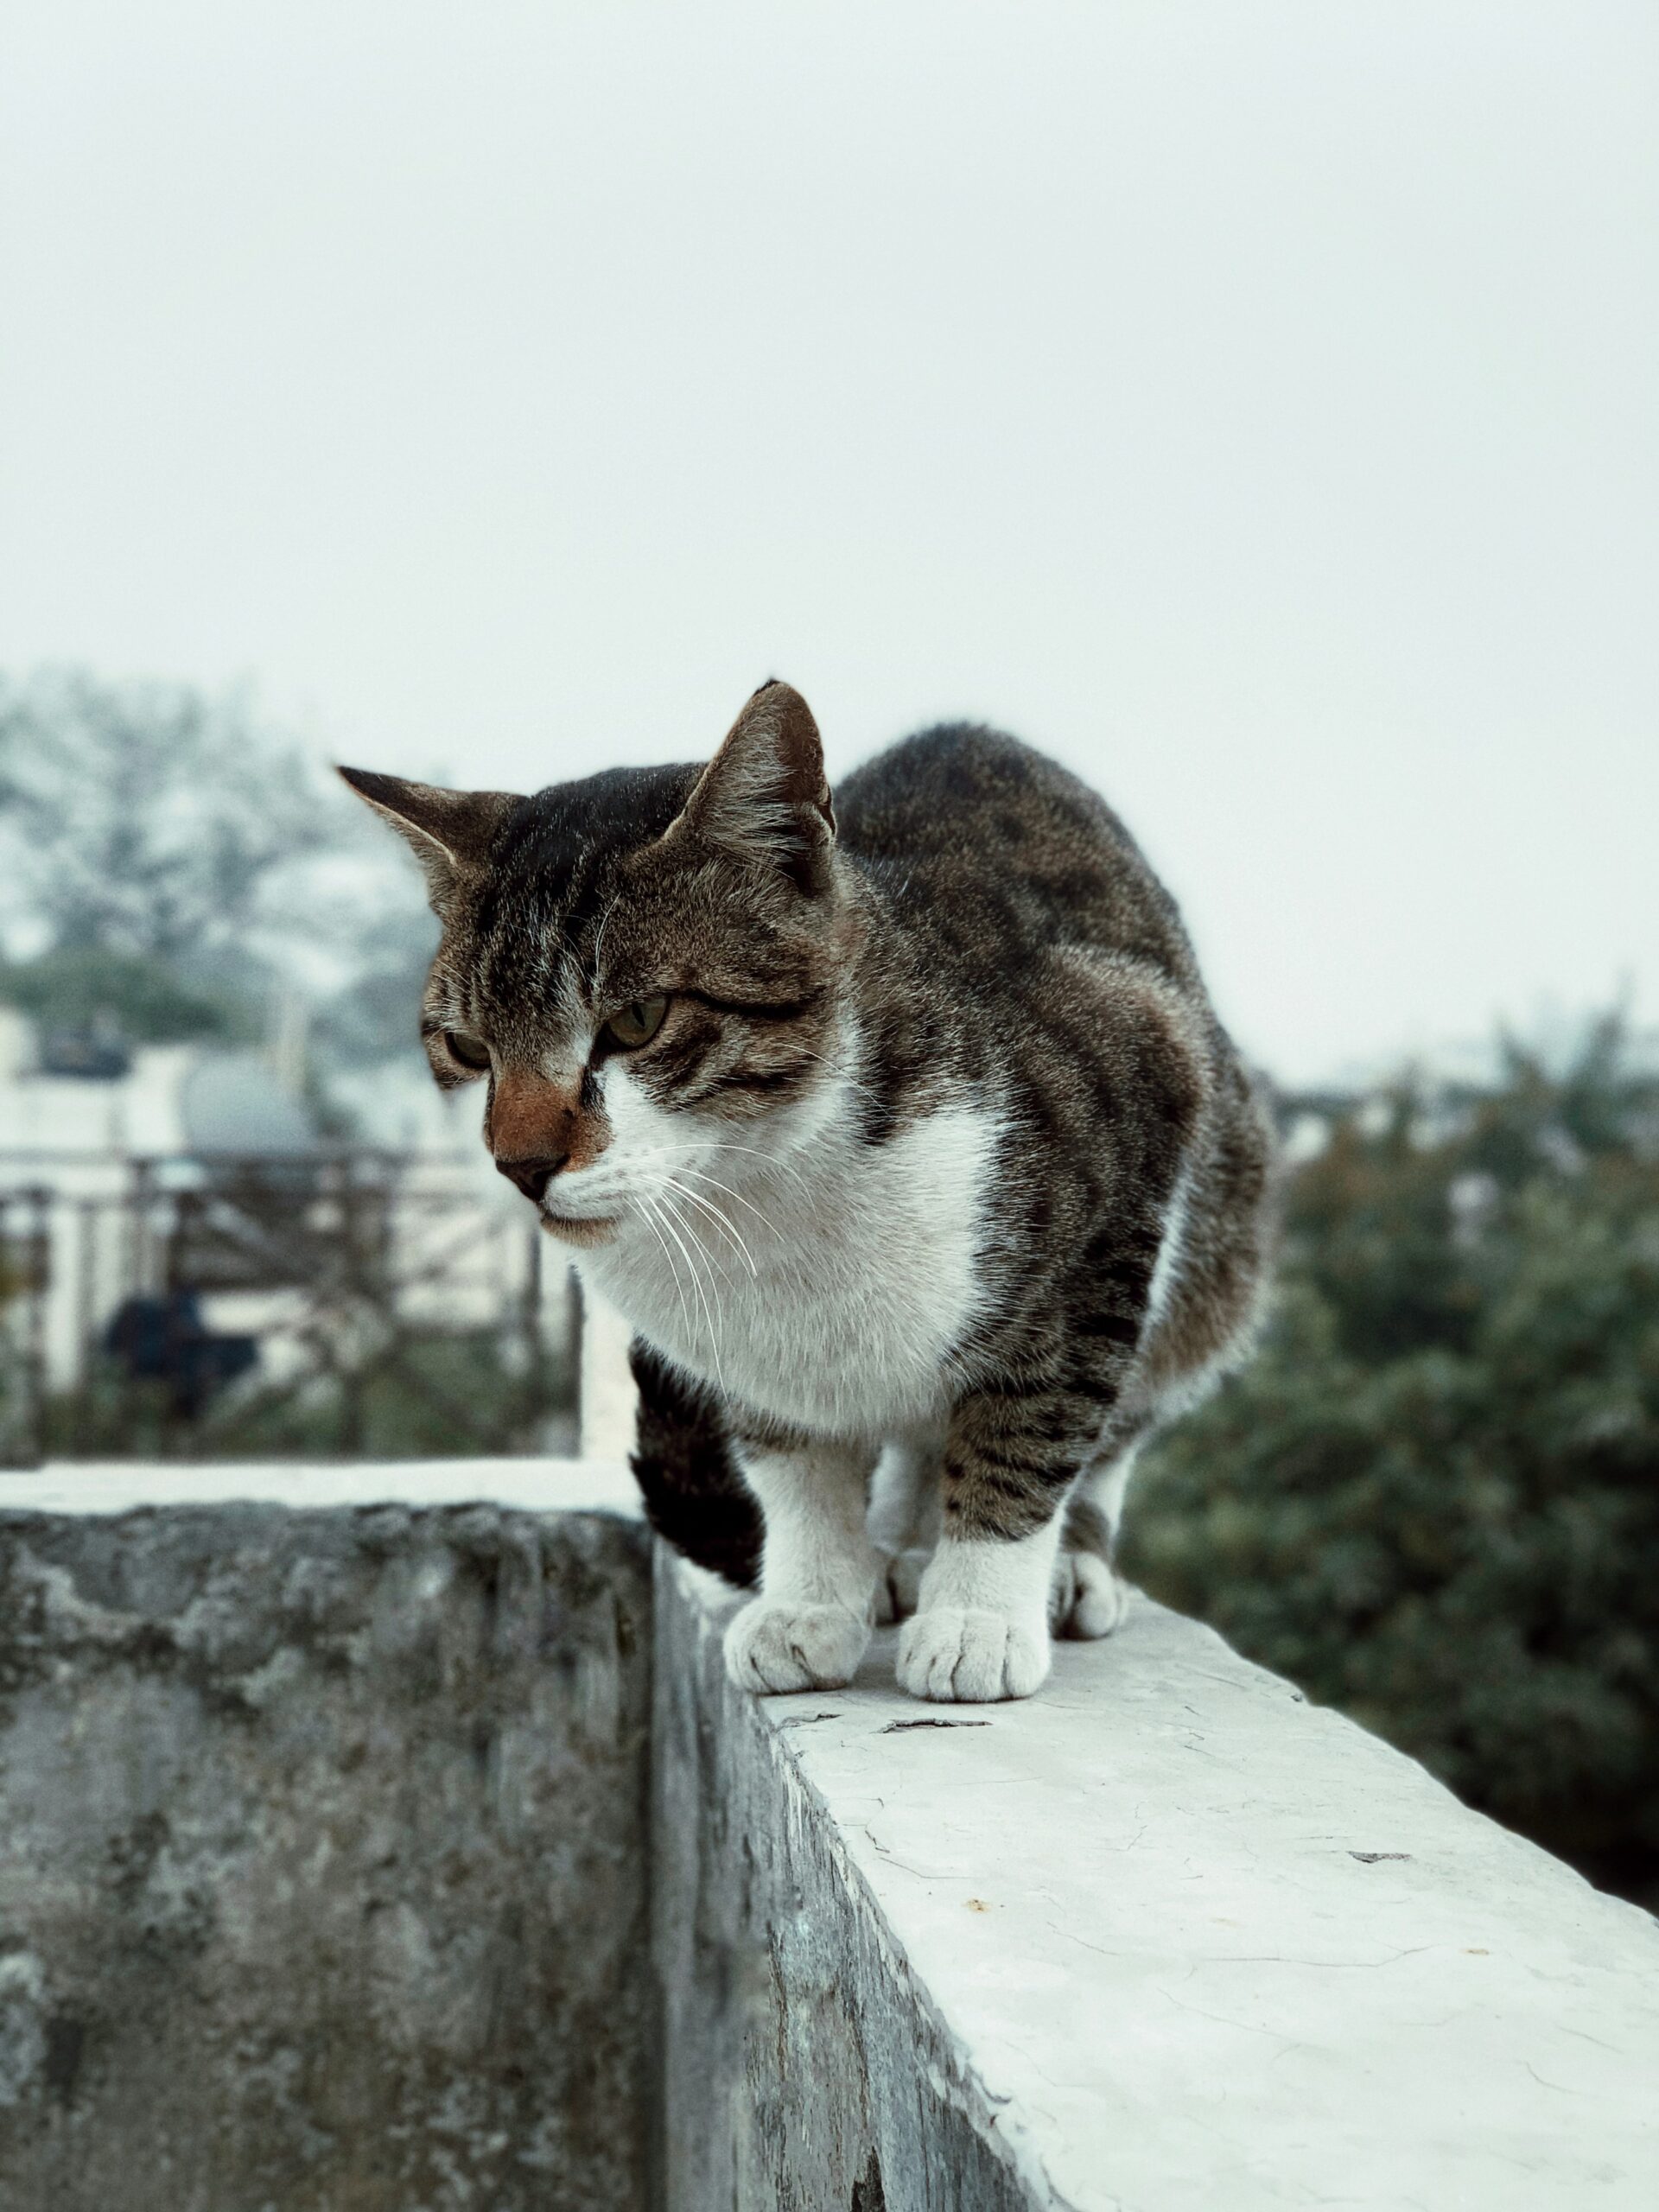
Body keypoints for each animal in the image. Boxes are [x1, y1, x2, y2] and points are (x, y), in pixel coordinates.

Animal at [345, 681, 1282, 1699]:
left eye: (637, 1021)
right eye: (468, 1047)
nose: (520, 1165)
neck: (758, 1191)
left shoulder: (1125, 1146)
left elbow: (1032, 1426)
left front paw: (978, 1617)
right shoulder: (753, 1348)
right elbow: (794, 1465)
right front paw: (814, 1603)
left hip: (1218, 1221)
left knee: (1118, 1415)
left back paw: (1055, 1565)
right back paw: (901, 1554)